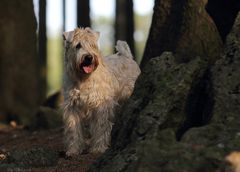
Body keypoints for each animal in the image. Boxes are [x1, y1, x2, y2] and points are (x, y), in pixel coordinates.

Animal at [62, 27, 141, 156]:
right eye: (78, 45)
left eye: (92, 44)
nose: (88, 57)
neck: (83, 79)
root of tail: (126, 56)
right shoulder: (72, 106)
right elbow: (73, 128)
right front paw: (73, 150)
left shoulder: (101, 105)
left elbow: (101, 126)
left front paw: (98, 148)